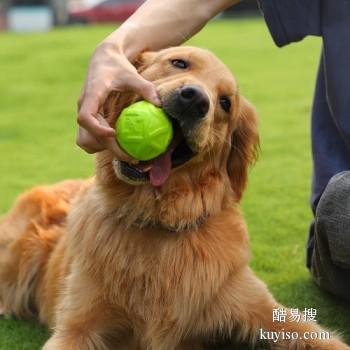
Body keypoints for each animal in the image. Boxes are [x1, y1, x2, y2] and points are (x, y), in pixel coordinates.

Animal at [0, 47, 350, 350]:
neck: (156, 218)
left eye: (225, 103)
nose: (194, 100)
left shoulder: (259, 308)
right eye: (179, 63)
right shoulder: (77, 326)